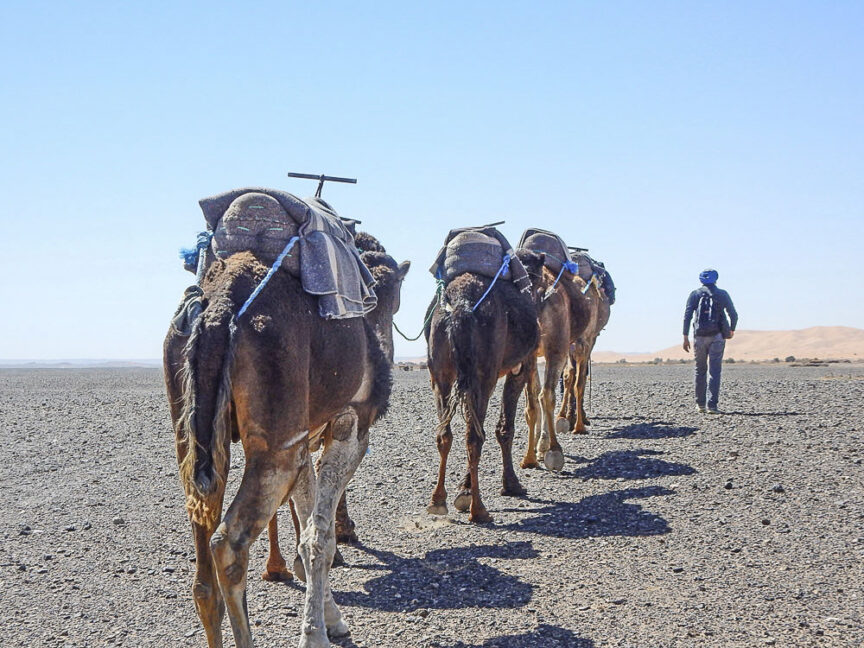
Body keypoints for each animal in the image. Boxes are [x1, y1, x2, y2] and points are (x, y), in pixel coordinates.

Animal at [164, 241, 409, 648]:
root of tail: (219, 309)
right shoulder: (349, 425)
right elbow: (319, 536)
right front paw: (316, 634)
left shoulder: (306, 436)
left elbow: (308, 525)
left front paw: (331, 618)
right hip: (276, 440)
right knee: (228, 544)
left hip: (192, 432)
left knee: (203, 577)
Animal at [425, 236, 544, 524]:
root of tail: (462, 305)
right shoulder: (521, 366)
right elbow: (505, 427)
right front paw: (511, 485)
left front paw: (463, 489)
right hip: (484, 372)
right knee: (474, 436)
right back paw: (479, 510)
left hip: (441, 373)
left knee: (444, 434)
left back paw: (437, 500)